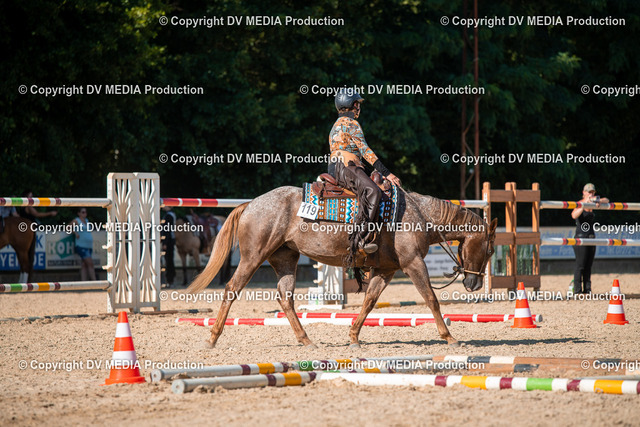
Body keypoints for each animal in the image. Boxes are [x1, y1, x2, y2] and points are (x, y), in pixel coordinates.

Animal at [187, 186, 497, 349]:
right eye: (490, 249)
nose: (474, 283)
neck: (418, 215)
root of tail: (251, 204)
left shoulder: (386, 270)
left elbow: (369, 301)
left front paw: (354, 336)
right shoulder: (413, 264)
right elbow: (431, 299)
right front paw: (449, 337)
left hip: (285, 259)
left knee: (285, 297)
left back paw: (306, 339)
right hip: (253, 258)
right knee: (232, 289)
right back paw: (212, 338)